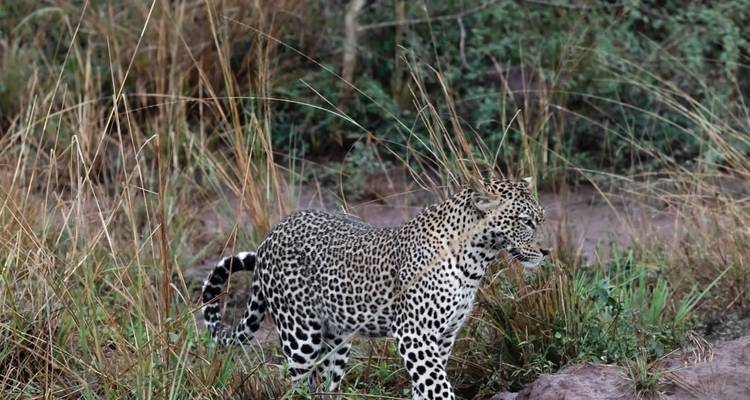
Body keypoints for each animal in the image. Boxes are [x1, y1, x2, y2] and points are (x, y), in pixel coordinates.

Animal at [201, 178, 548, 399]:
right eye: (525, 221)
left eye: (541, 219)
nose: (547, 251)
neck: (476, 259)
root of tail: (271, 234)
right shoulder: (413, 334)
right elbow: (438, 388)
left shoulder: (444, 337)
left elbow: (425, 388)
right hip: (300, 336)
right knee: (297, 386)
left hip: (336, 340)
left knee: (325, 386)